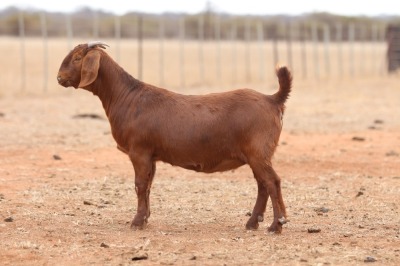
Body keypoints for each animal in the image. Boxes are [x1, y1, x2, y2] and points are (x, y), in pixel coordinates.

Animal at [56, 41, 292, 233]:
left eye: (77, 58)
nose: (59, 78)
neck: (126, 96)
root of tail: (273, 99)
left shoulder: (139, 151)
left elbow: (140, 184)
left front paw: (136, 222)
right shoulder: (151, 155)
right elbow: (148, 185)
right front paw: (145, 219)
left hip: (258, 152)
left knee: (272, 182)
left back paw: (276, 224)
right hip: (256, 155)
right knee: (262, 184)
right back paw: (252, 223)